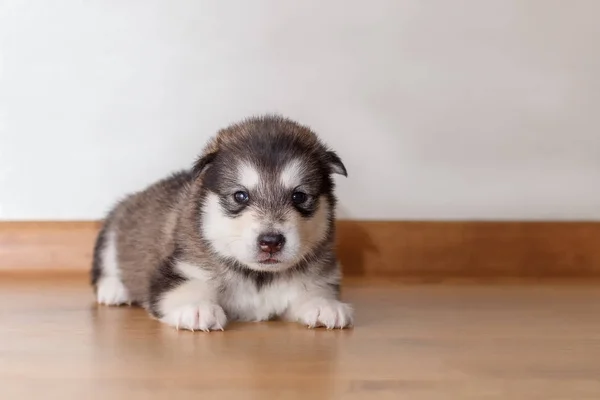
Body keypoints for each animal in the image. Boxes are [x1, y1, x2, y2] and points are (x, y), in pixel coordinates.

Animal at [91, 115, 354, 332]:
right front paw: (196, 307)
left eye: (299, 196)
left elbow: (312, 290)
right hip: (113, 228)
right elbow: (183, 288)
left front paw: (324, 304)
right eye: (240, 196)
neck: (258, 277)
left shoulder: (317, 276)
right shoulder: (178, 269)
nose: (271, 242)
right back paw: (114, 289)